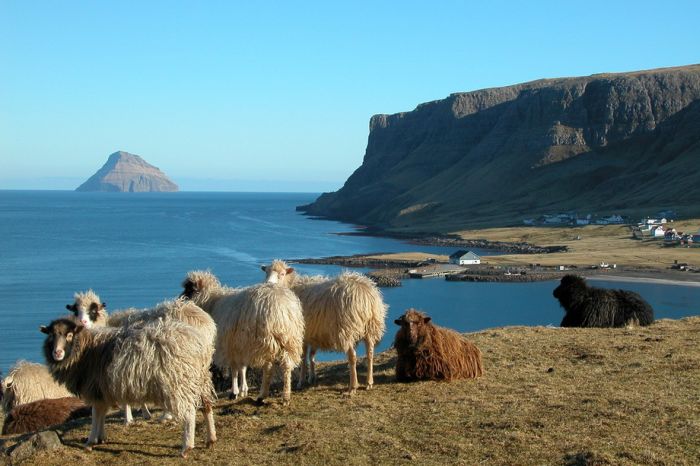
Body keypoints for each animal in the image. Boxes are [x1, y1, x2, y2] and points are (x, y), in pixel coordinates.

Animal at [40, 306, 216, 456]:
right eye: (51, 335)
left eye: (69, 335)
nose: (57, 353)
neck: (85, 350)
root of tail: (199, 343)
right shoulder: (103, 390)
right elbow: (101, 413)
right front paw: (100, 438)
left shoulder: (95, 388)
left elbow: (96, 414)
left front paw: (90, 441)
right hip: (199, 379)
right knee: (206, 406)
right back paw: (211, 439)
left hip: (178, 383)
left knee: (189, 414)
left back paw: (187, 447)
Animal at [180, 270, 304, 404]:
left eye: (188, 289)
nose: (180, 299)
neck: (213, 302)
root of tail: (283, 308)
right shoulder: (241, 344)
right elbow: (242, 368)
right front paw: (243, 390)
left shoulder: (230, 344)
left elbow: (234, 369)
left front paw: (234, 392)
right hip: (289, 339)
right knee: (286, 366)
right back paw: (285, 396)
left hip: (267, 339)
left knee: (269, 368)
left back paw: (263, 395)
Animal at [262, 260, 386, 392]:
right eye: (266, 272)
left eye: (282, 274)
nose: (269, 284)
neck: (292, 287)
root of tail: (366, 295)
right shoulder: (313, 334)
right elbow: (312, 356)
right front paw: (312, 377)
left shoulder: (302, 334)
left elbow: (303, 358)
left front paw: (301, 381)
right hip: (371, 327)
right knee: (370, 353)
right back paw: (369, 382)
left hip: (347, 329)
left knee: (353, 356)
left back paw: (353, 387)